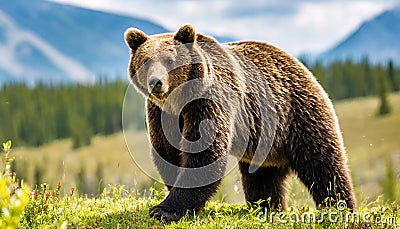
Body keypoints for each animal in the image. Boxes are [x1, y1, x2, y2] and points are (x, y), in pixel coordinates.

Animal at [123, 23, 354, 222]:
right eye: (145, 61)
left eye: (170, 61)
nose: (156, 83)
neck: (180, 101)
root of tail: (302, 66)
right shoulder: (162, 114)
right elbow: (167, 151)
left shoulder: (209, 101)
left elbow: (204, 153)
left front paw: (164, 210)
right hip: (265, 142)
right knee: (262, 178)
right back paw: (267, 207)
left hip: (299, 114)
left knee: (324, 165)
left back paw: (339, 207)